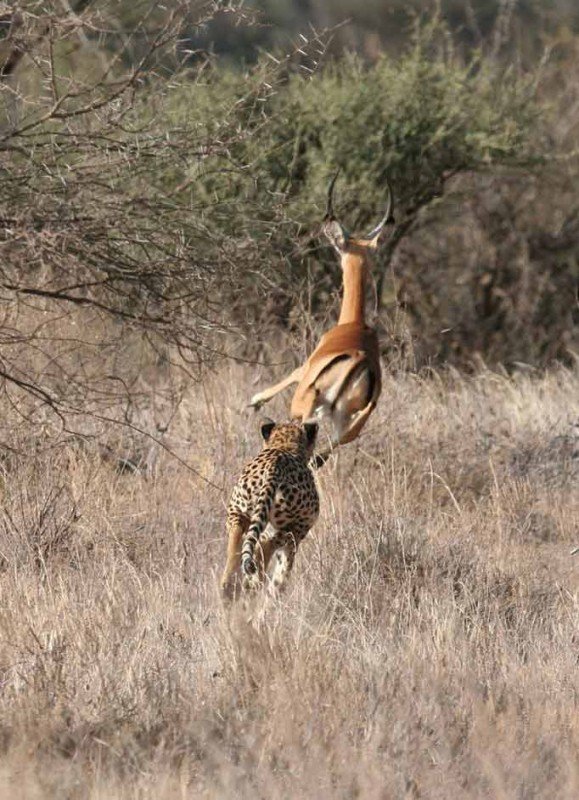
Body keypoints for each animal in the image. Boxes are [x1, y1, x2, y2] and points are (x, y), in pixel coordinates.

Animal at [222, 418, 322, 600]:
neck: (284, 445)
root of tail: (273, 468)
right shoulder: (297, 534)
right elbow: (282, 572)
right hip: (292, 527)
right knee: (265, 546)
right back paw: (254, 581)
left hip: (237, 513)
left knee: (237, 540)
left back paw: (230, 584)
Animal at [249, 175, 394, 462]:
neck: (353, 324)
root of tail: (360, 361)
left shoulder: (305, 370)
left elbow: (292, 372)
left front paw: (255, 400)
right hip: (349, 419)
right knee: (329, 448)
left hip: (306, 403)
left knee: (304, 430)